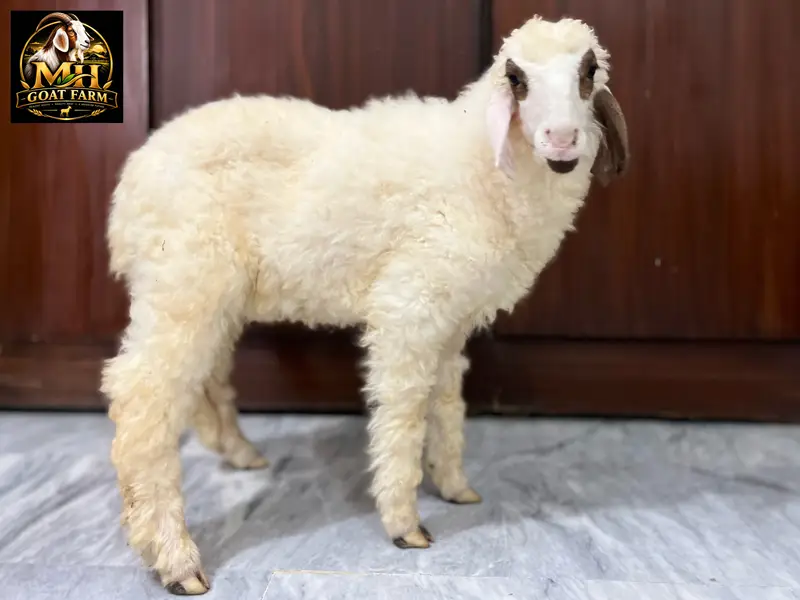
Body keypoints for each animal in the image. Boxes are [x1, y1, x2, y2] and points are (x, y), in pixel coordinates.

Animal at [101, 14, 628, 595]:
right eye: (517, 79)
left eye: (588, 74)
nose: (562, 138)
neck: (480, 167)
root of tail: (131, 182)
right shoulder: (410, 303)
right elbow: (403, 412)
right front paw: (404, 523)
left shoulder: (452, 318)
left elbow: (446, 404)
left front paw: (455, 485)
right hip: (183, 279)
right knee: (143, 401)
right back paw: (174, 556)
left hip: (208, 293)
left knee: (203, 380)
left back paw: (238, 453)